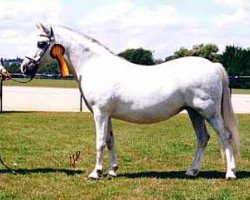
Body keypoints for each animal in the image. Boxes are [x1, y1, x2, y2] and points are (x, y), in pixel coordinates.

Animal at [21, 23, 238, 180]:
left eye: (40, 44)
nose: (24, 67)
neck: (95, 66)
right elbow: (110, 140)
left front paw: (95, 173)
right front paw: (112, 170)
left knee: (225, 136)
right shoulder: (106, 115)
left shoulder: (100, 113)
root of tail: (213, 65)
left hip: (209, 112)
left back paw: (230, 173)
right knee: (203, 138)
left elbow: (100, 142)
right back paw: (192, 171)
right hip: (194, 112)